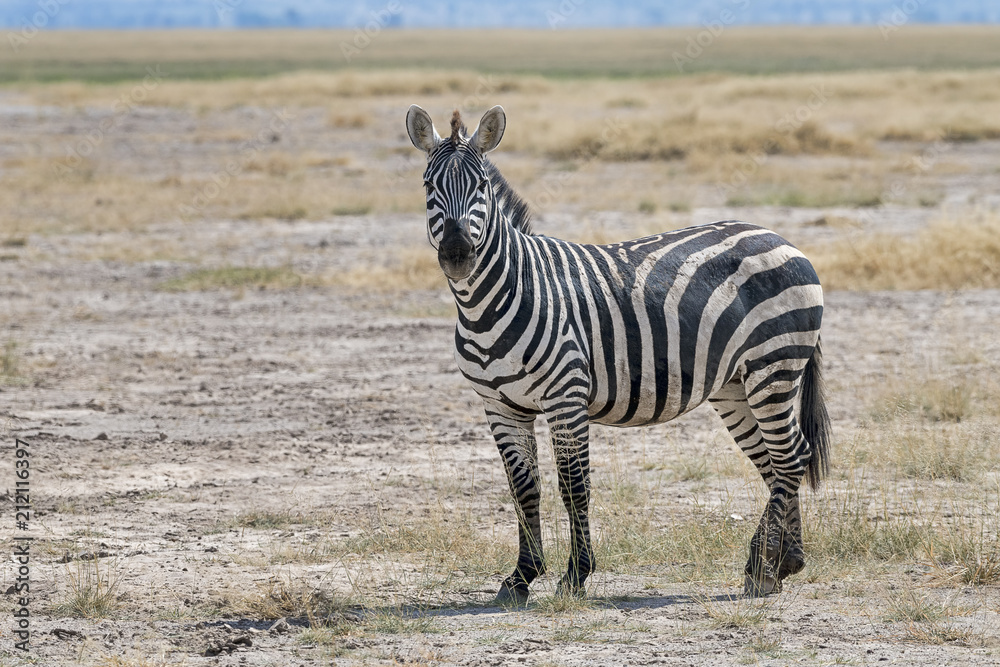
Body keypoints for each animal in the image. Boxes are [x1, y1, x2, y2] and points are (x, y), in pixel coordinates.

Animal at [404, 104, 831, 604]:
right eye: (428, 187)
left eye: (482, 187)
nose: (457, 254)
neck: (492, 299)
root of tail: (779, 236)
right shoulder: (499, 406)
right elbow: (523, 489)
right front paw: (521, 577)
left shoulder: (565, 395)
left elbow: (574, 486)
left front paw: (576, 575)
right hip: (735, 384)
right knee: (777, 461)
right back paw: (782, 563)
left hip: (774, 364)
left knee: (790, 457)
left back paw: (763, 566)